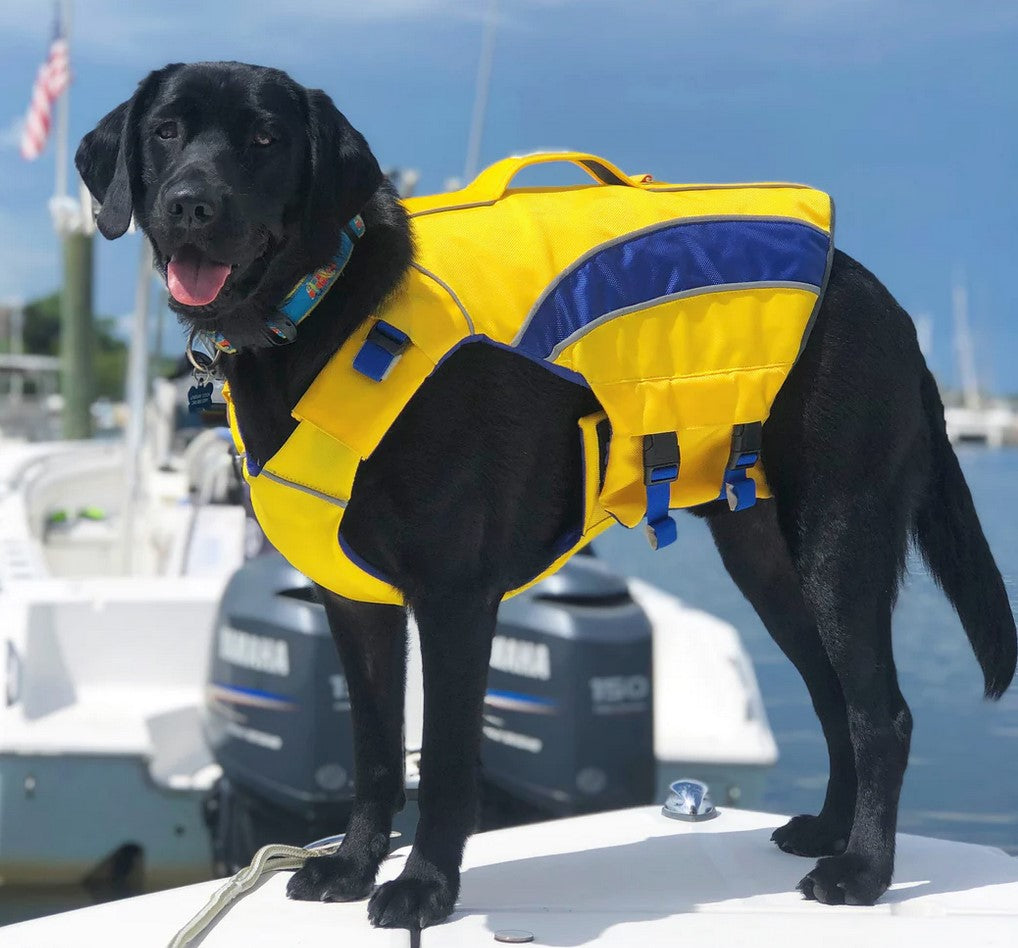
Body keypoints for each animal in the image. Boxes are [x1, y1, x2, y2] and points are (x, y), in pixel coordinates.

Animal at [75, 63, 1013, 928]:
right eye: (165, 132)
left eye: (266, 139)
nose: (192, 204)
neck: (320, 313)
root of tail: (883, 301)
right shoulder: (355, 604)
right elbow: (375, 751)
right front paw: (352, 865)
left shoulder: (454, 596)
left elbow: (444, 760)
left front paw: (423, 888)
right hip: (768, 561)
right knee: (833, 697)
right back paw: (827, 831)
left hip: (838, 539)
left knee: (882, 713)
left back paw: (863, 872)